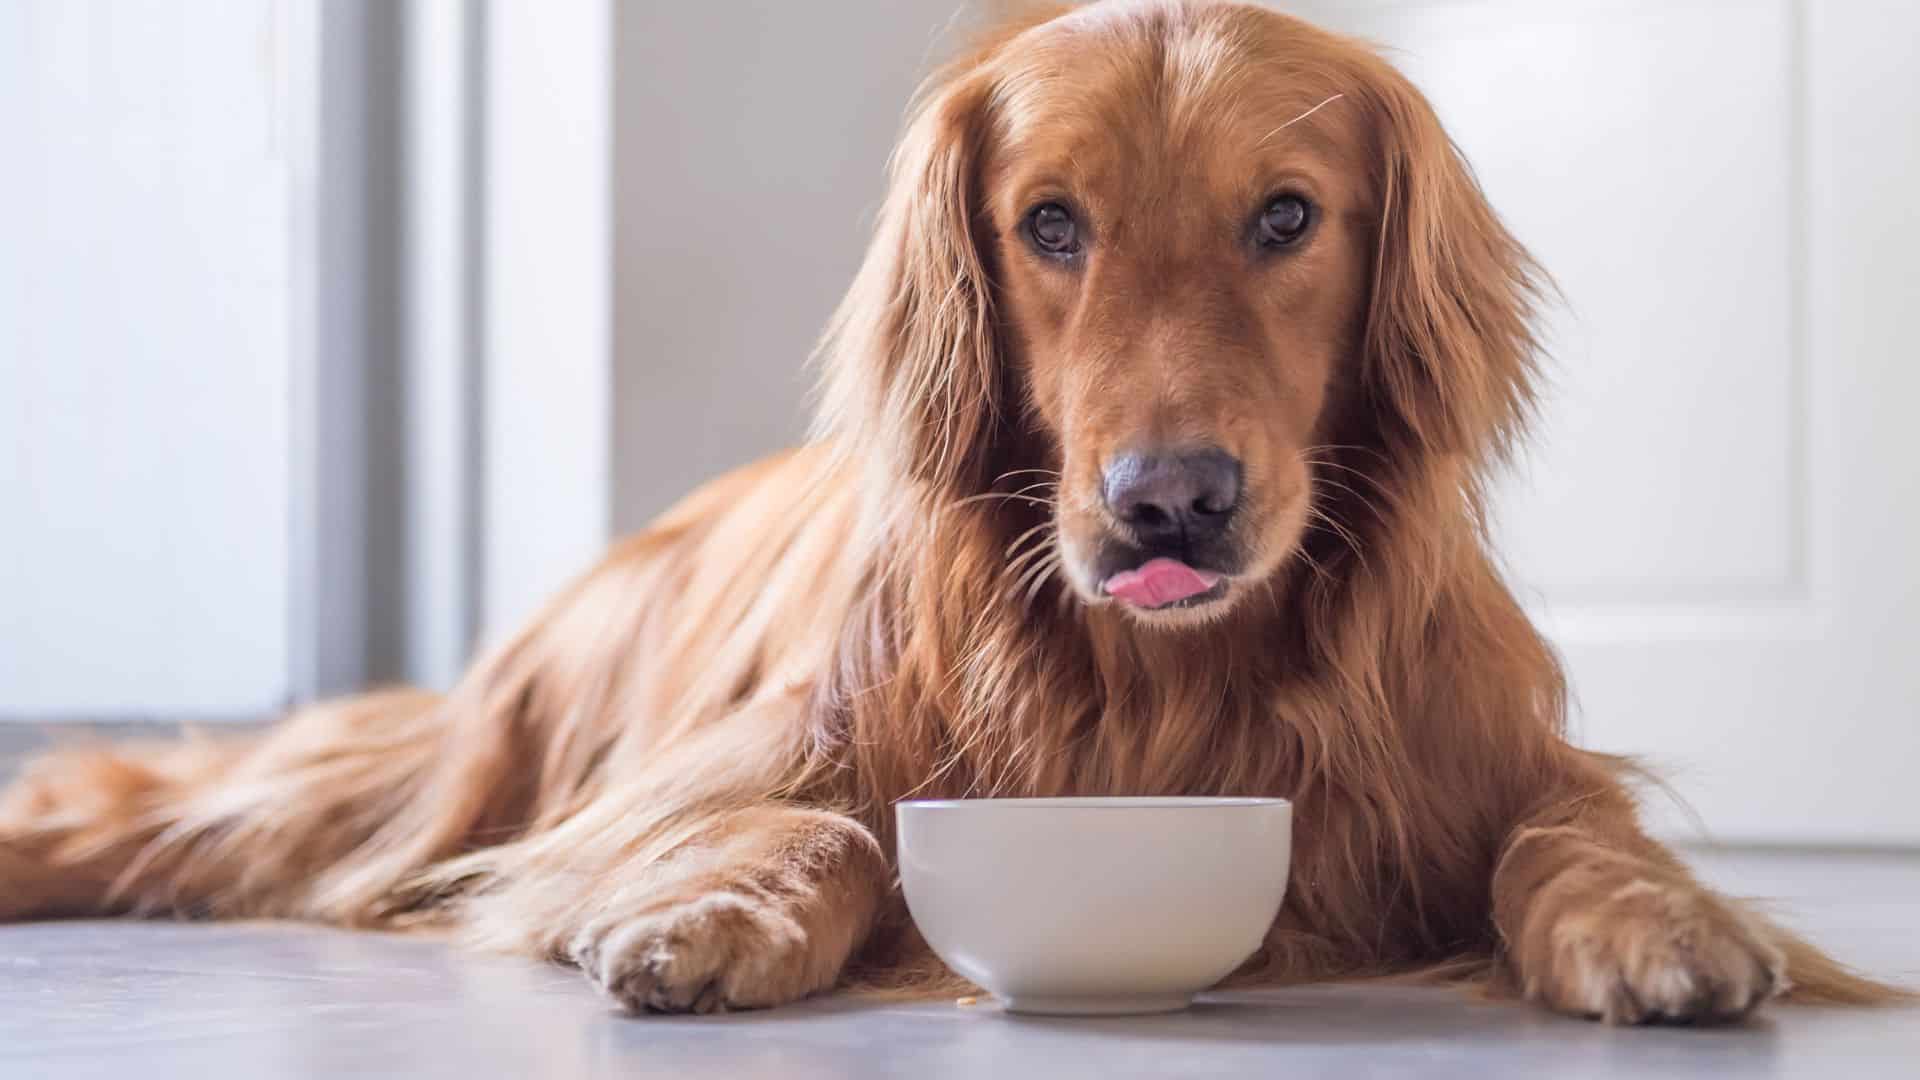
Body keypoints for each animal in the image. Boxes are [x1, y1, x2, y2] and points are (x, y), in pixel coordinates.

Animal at [0, 0, 1896, 1014]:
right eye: (1050, 223)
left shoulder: (1496, 764)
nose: (1171, 504)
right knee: (183, 805)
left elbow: (1567, 837)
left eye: (1288, 217)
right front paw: (713, 918)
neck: (1171, 692)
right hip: (453, 770)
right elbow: (825, 825)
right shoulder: (698, 783)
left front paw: (1664, 926)